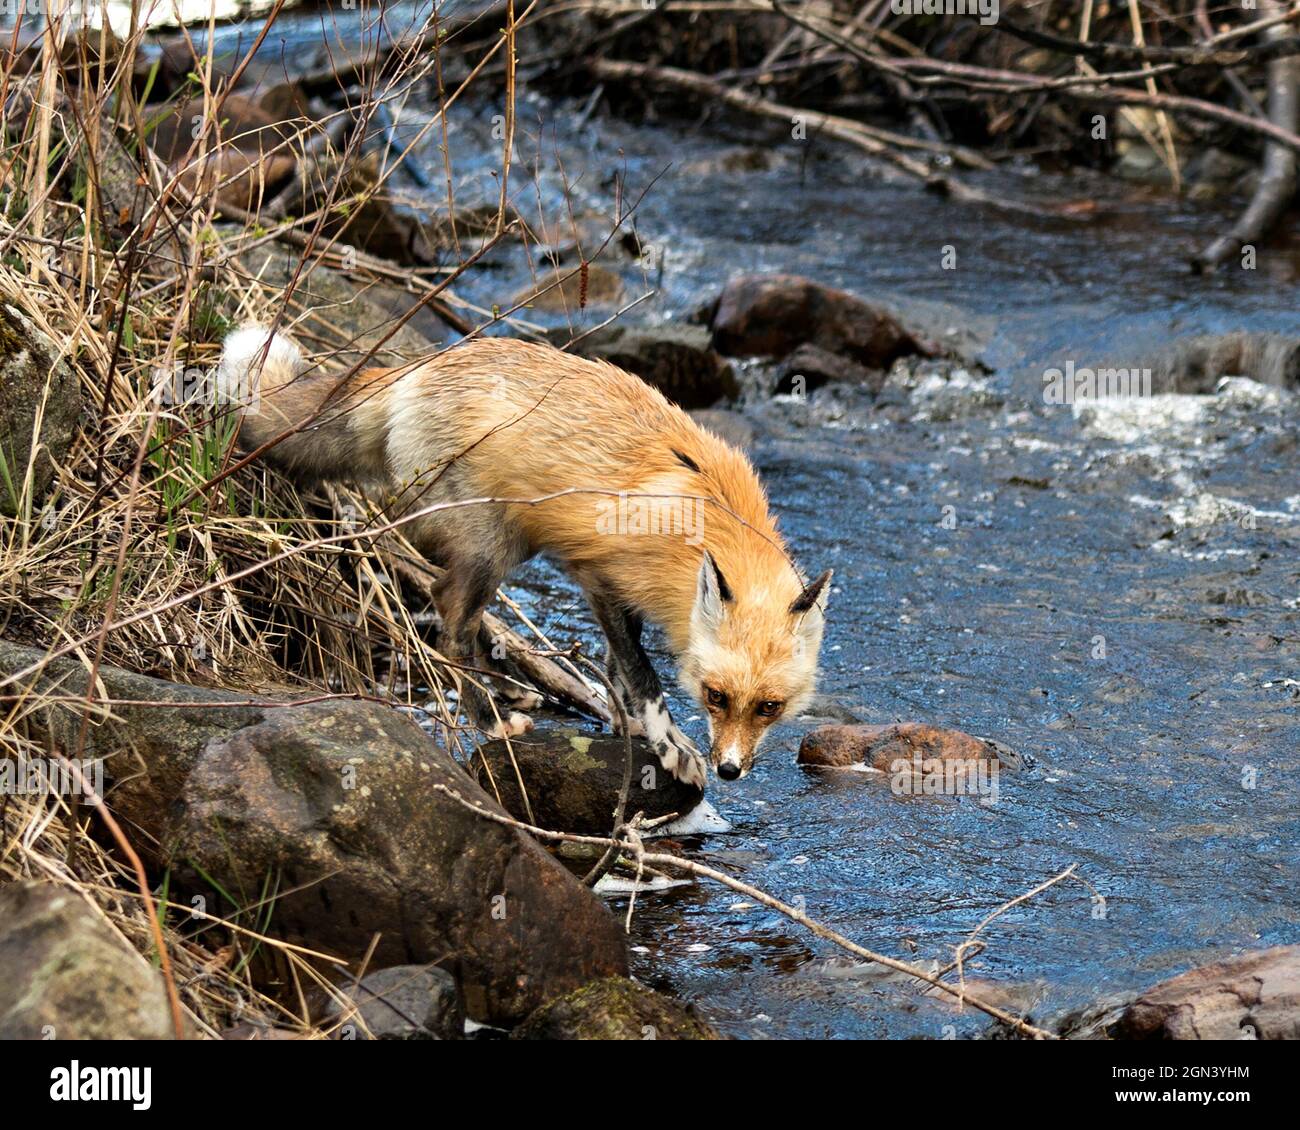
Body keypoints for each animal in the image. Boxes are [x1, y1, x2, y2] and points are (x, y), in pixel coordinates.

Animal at [216, 325, 832, 787]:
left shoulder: (616, 592)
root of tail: (420, 366)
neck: (704, 523)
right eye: (715, 695)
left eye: (769, 707)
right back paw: (489, 718)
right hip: (491, 544)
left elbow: (618, 668)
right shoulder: (600, 576)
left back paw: (509, 689)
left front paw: (628, 726)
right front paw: (668, 741)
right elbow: (641, 672)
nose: (730, 770)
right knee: (449, 619)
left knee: (459, 619)